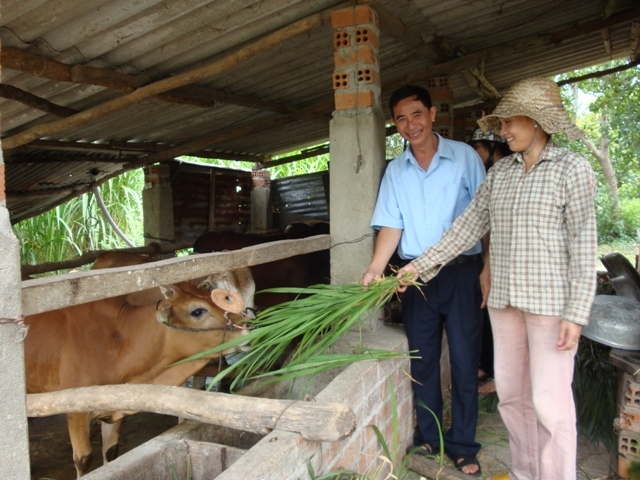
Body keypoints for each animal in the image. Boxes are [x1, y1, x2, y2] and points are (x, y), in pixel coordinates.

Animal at [22, 282, 249, 476]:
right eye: (197, 311)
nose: (247, 326)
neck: (118, 339)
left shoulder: (115, 406)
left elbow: (111, 452)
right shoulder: (75, 411)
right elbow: (83, 460)